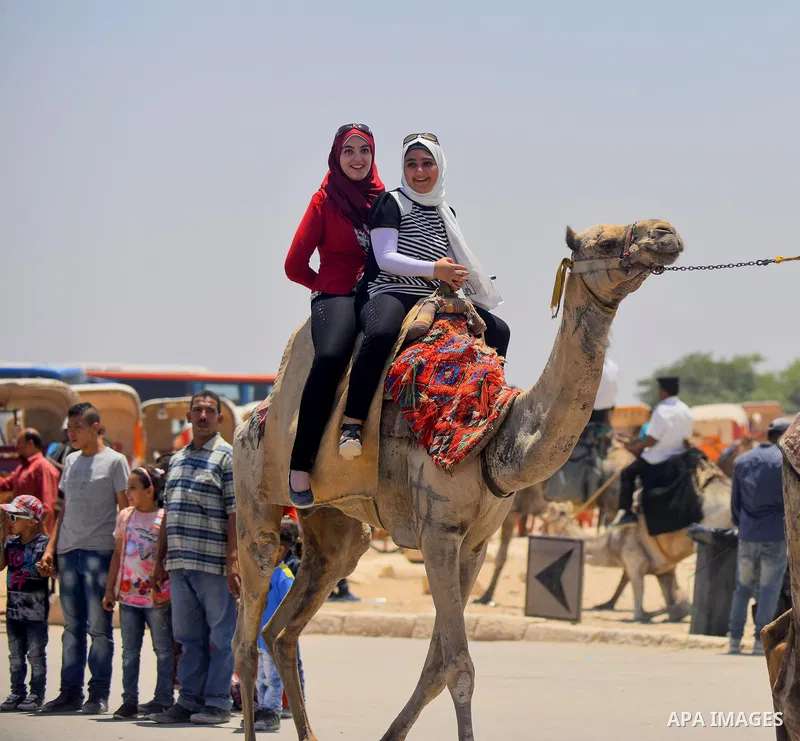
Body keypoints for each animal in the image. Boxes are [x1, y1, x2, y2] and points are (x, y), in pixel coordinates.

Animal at [232, 220, 684, 741]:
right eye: (605, 240)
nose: (666, 233)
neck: (495, 434)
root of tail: (251, 416)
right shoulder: (439, 532)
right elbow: (460, 667)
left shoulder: (475, 543)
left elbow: (436, 665)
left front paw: (390, 736)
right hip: (256, 494)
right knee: (247, 631)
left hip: (335, 525)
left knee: (287, 624)